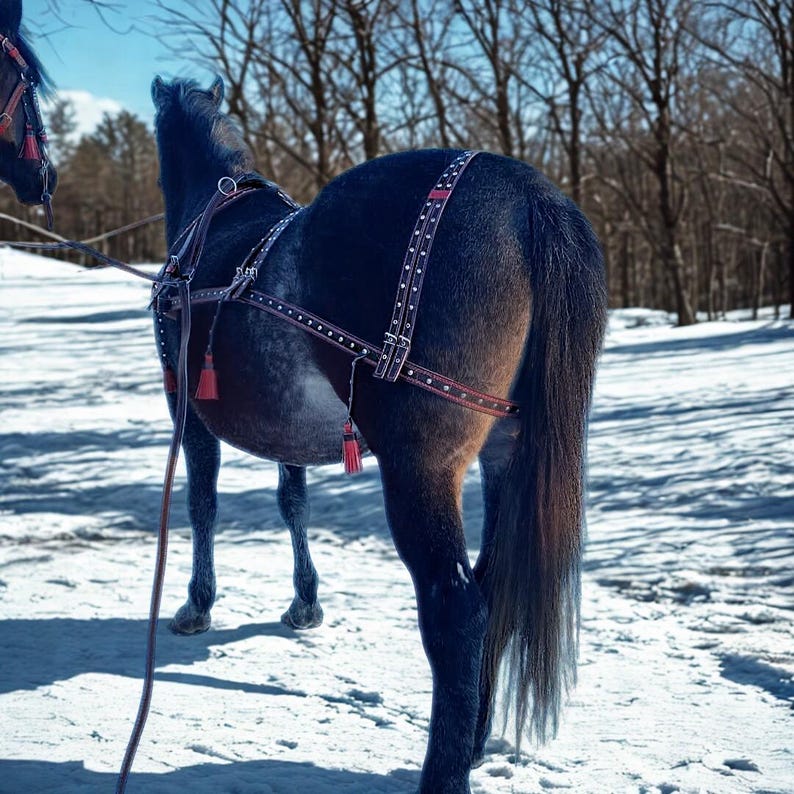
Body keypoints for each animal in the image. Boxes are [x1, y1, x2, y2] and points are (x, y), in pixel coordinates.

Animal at [151, 75, 607, 794]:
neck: (213, 221)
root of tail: (526, 194)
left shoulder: (187, 413)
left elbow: (203, 506)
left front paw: (197, 606)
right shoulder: (287, 431)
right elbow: (293, 503)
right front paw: (305, 604)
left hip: (419, 464)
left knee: (457, 608)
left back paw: (443, 773)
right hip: (506, 453)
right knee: (495, 586)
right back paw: (472, 741)